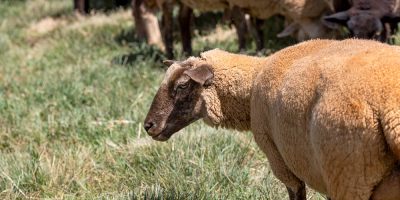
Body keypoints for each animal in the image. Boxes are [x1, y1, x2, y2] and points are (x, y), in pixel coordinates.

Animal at [145, 38, 400, 198]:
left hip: (347, 173)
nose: (148, 125)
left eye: (182, 85)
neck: (253, 81)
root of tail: (391, 112)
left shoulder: (281, 162)